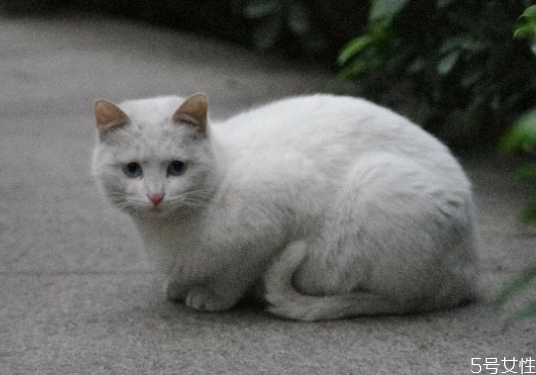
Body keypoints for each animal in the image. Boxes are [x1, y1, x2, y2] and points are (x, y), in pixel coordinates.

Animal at [91, 92, 478, 322]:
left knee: (400, 301)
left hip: (377, 188)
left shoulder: (277, 215)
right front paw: (179, 286)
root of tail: (466, 277)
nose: (156, 197)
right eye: (133, 170)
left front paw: (213, 296)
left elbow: (237, 272)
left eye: (177, 168)